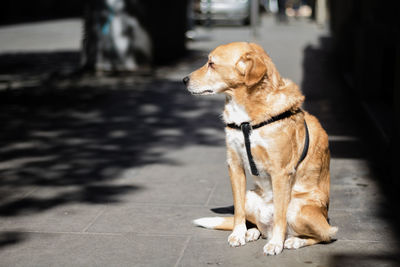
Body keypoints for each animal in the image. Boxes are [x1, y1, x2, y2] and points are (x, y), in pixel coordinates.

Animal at [184, 42, 338, 255]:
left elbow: (280, 215)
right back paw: (252, 232)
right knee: (258, 224)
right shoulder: (234, 165)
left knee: (325, 235)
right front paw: (239, 234)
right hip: (250, 197)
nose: (184, 80)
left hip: (298, 209)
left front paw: (275, 244)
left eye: (211, 64)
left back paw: (292, 241)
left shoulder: (281, 172)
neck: (245, 119)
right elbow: (238, 210)